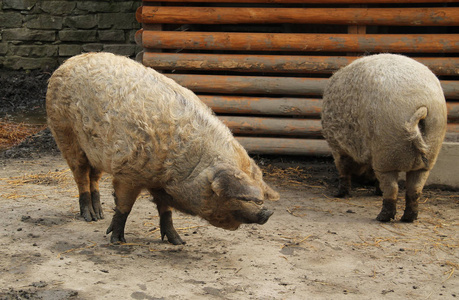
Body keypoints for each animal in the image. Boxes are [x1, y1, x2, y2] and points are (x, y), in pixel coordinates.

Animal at [45, 52, 280, 244]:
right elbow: (124, 205)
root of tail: (66, 63)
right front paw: (117, 240)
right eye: (240, 197)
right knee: (80, 176)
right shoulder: (128, 172)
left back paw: (99, 214)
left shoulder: (161, 184)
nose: (267, 213)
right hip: (65, 133)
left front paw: (178, 242)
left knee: (93, 178)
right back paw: (89, 217)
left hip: (96, 152)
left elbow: (165, 211)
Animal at [322, 54, 448, 223]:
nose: (364, 182)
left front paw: (340, 194)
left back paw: (382, 217)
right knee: (415, 188)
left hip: (386, 150)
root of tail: (421, 106)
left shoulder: (337, 146)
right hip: (431, 147)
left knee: (392, 187)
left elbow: (343, 169)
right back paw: (408, 218)